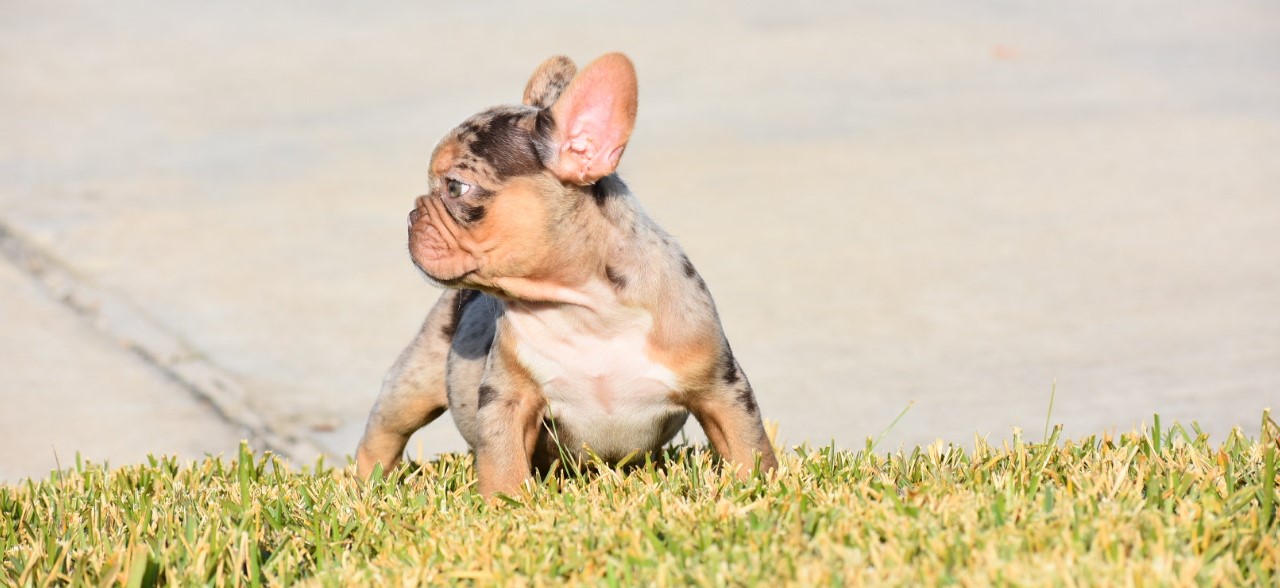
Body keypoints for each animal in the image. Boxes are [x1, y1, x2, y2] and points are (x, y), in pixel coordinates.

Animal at [355, 54, 773, 497]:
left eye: (455, 187)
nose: (411, 215)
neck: (584, 310)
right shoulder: (508, 399)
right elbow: (503, 467)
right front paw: (505, 505)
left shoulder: (722, 390)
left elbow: (749, 448)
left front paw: (757, 489)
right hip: (413, 381)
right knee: (382, 434)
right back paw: (368, 484)